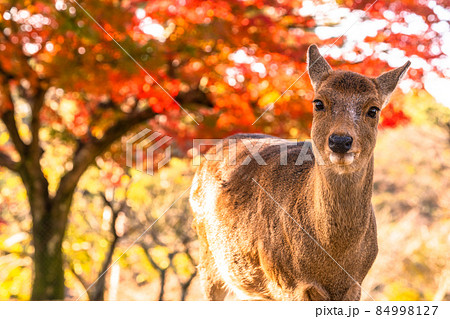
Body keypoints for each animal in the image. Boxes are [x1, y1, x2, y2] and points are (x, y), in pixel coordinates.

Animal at [190, 44, 412, 300]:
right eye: (318, 103)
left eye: (373, 109)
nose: (340, 141)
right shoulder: (285, 281)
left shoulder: (356, 283)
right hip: (208, 258)